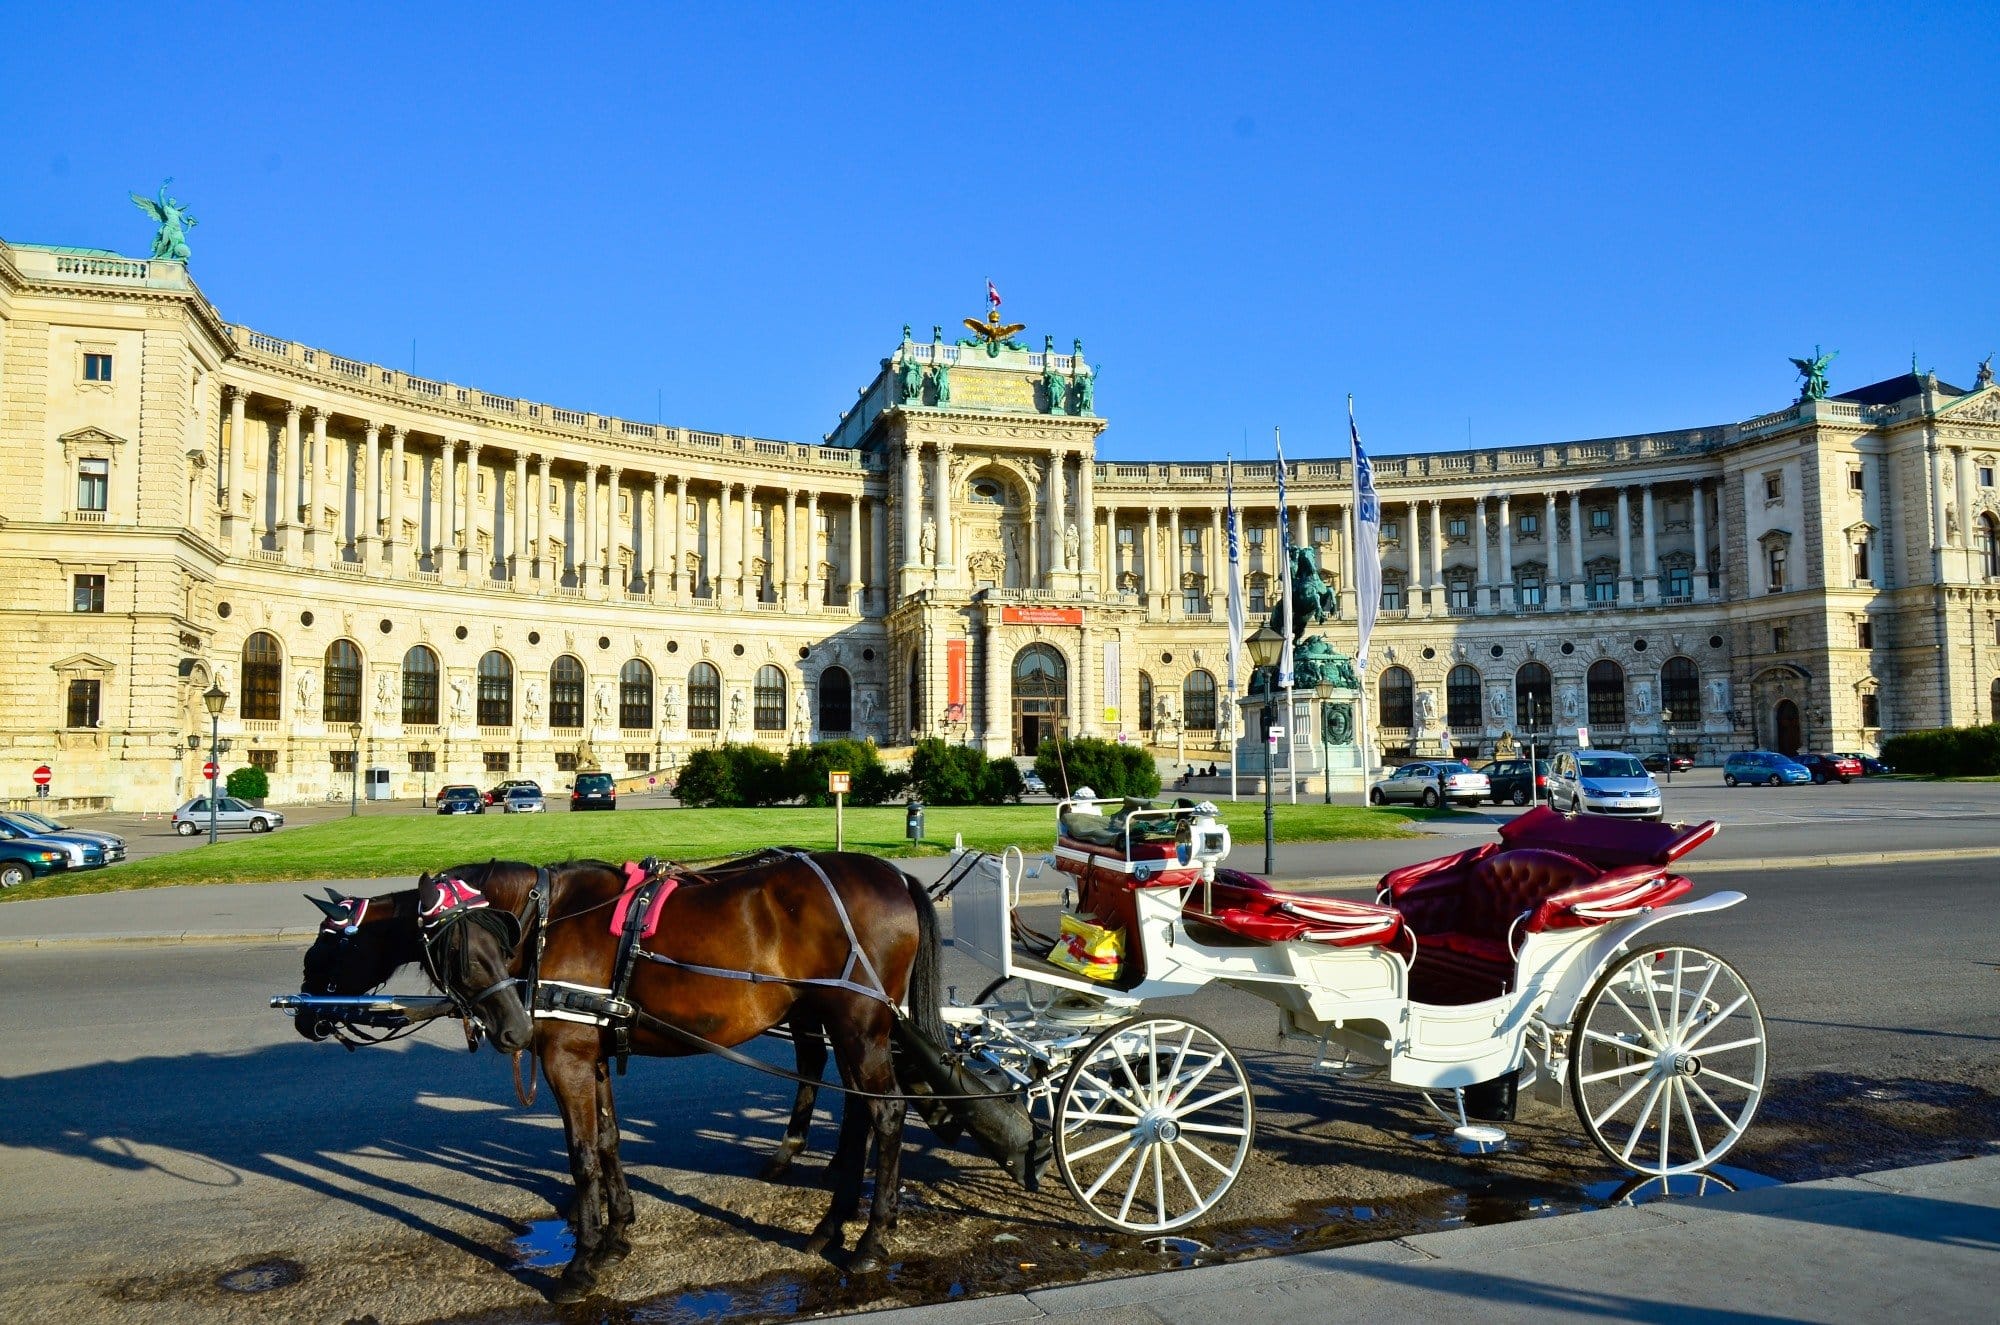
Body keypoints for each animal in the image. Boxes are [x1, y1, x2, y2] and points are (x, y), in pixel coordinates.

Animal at [296, 856, 944, 1304]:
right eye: (454, 949)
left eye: (324, 946)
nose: (303, 1014)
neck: (545, 923)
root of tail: (894, 874)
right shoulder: (591, 1052)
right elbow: (608, 1139)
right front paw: (617, 1235)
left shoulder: (565, 1058)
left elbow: (582, 1153)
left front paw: (581, 1264)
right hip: (844, 1027)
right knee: (859, 1111)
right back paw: (832, 1223)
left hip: (857, 1026)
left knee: (885, 1113)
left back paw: (870, 1240)